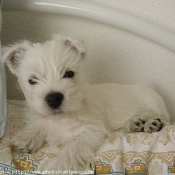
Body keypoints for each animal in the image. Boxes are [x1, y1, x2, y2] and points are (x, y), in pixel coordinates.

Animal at [2, 34, 170, 173]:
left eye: (69, 73)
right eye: (32, 80)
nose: (54, 98)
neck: (62, 117)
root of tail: (150, 87)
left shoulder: (90, 130)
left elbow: (73, 148)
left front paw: (58, 165)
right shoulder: (42, 117)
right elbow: (38, 124)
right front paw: (26, 138)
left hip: (153, 104)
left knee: (161, 117)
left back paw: (151, 123)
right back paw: (137, 123)